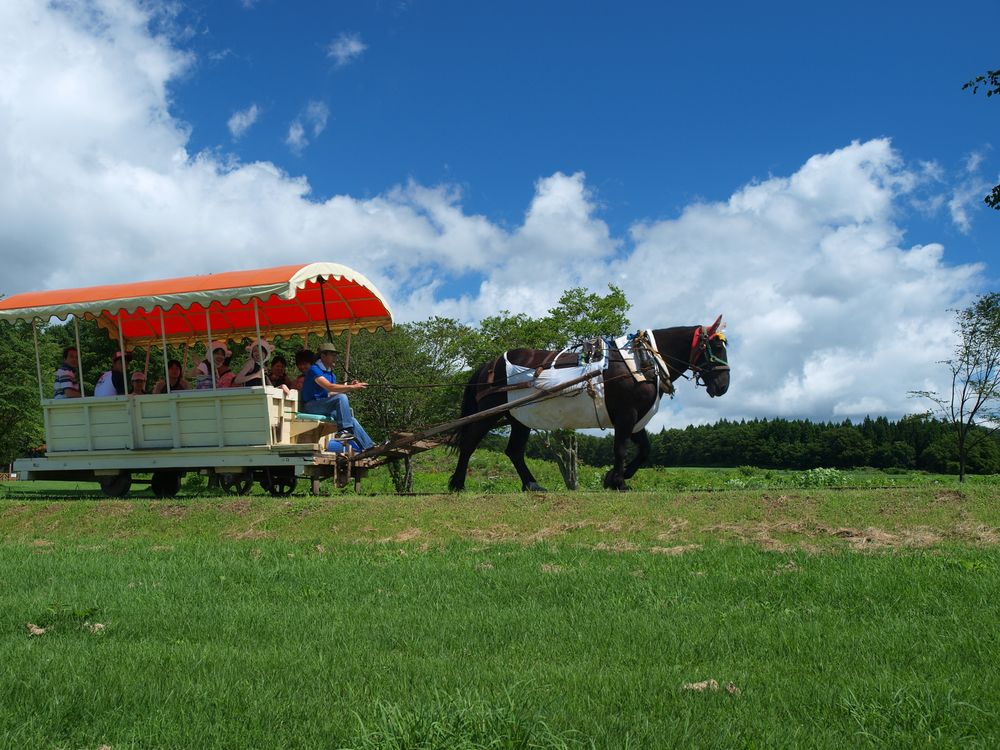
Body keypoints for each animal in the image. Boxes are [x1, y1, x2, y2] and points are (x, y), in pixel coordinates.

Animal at [448, 316, 730, 491]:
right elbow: (621, 449)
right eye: (716, 347)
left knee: (514, 451)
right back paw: (458, 483)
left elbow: (645, 450)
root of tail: (489, 364)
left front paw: (615, 477)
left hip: (520, 417)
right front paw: (619, 481)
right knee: (469, 443)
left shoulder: (636, 419)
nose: (723, 385)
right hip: (488, 413)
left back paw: (531, 484)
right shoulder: (626, 415)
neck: (642, 360)